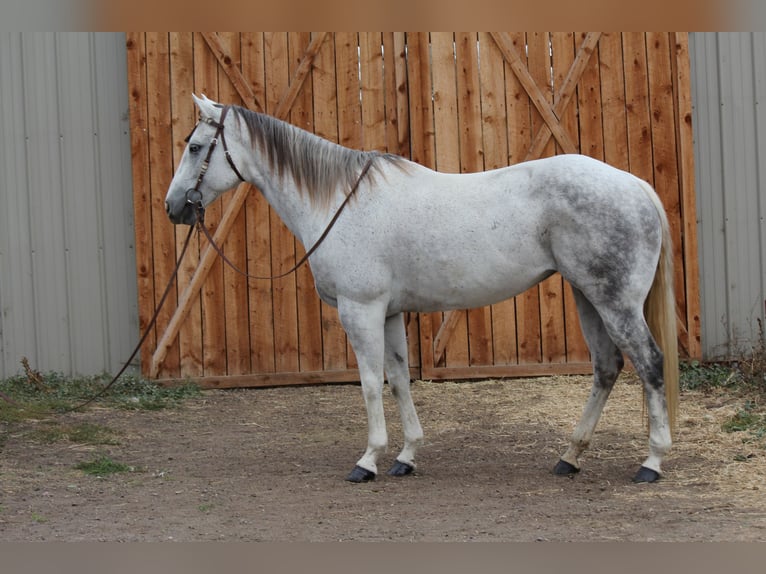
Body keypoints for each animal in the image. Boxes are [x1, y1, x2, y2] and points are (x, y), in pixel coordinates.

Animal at [165, 94, 679, 484]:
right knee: (607, 367)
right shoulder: (390, 312)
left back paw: (651, 463)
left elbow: (370, 382)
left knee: (649, 363)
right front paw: (405, 456)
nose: (174, 208)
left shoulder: (361, 310)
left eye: (195, 147)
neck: (340, 201)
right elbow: (397, 379)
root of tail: (635, 186)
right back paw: (569, 458)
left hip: (616, 302)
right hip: (587, 296)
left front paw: (368, 460)